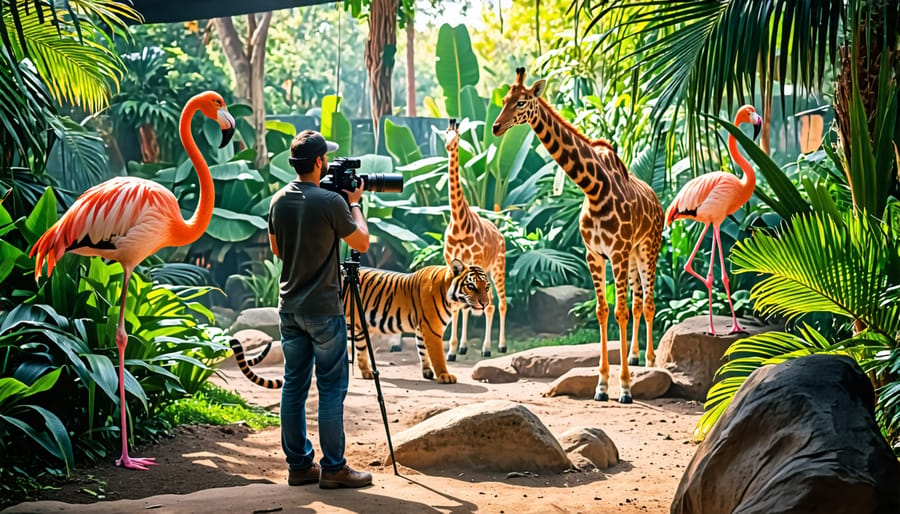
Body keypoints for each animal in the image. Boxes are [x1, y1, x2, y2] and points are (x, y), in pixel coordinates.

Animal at [229, 258, 488, 386]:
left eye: (486, 286)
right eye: (471, 286)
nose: (485, 303)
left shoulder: (420, 328)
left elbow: (422, 350)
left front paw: (427, 372)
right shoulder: (431, 327)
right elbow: (437, 354)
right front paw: (445, 375)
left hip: (358, 327)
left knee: (358, 353)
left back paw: (366, 372)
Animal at [442, 117, 506, 356]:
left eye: (457, 136)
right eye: (445, 133)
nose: (448, 146)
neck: (460, 225)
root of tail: (500, 233)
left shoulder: (474, 262)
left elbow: (470, 305)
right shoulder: (452, 262)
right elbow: (457, 306)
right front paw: (453, 350)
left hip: (497, 268)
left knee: (498, 303)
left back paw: (496, 346)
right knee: (481, 304)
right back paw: (465, 347)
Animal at [488, 69, 664, 404]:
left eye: (521, 102)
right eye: (503, 100)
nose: (496, 127)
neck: (594, 188)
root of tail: (658, 200)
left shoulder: (616, 252)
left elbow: (619, 312)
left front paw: (624, 388)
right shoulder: (594, 254)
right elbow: (602, 311)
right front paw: (601, 386)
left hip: (649, 248)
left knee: (648, 303)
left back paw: (650, 362)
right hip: (634, 254)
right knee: (638, 302)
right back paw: (635, 357)